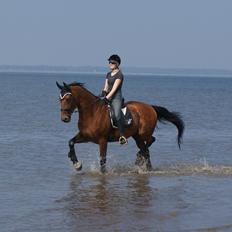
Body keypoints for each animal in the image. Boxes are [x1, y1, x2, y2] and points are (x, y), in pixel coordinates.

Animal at [56, 81, 185, 172]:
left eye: (68, 98)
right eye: (59, 99)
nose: (64, 118)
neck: (92, 112)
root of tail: (151, 107)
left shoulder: (102, 140)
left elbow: (102, 159)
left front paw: (103, 173)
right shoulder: (86, 136)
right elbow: (71, 142)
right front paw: (77, 164)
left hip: (143, 134)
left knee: (149, 144)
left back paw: (141, 161)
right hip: (137, 136)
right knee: (146, 148)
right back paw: (142, 162)